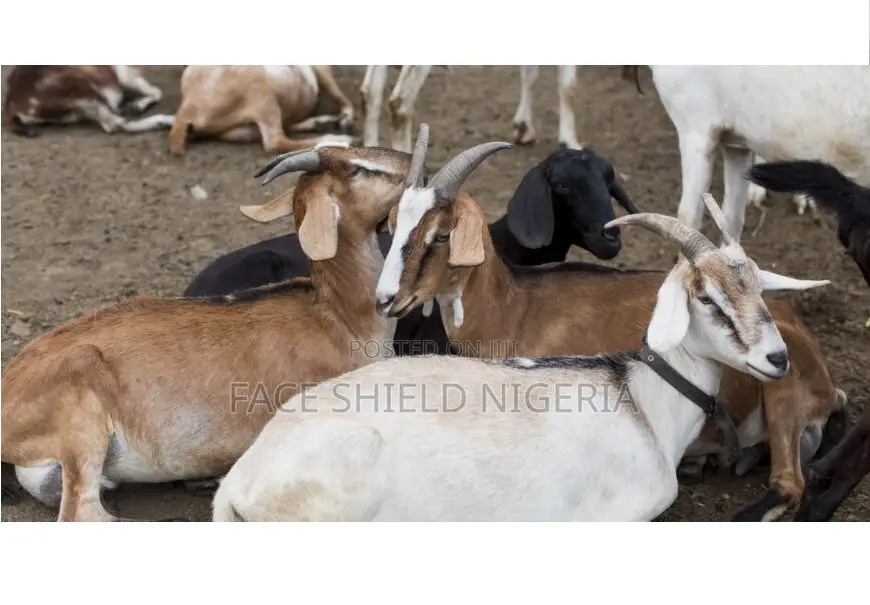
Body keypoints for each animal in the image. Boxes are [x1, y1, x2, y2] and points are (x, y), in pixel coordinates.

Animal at [3, 66, 174, 136]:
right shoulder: (122, 72)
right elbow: (156, 91)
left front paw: (136, 105)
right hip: (86, 89)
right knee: (116, 124)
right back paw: (169, 120)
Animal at [169, 66, 357, 156]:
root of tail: (186, 109)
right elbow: (337, 92)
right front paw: (348, 117)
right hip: (263, 96)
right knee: (275, 142)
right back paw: (340, 139)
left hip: (240, 129)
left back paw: (321, 124)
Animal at [360, 66, 589, 153]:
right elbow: (569, 86)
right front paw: (570, 142)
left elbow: (530, 74)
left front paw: (524, 128)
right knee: (400, 105)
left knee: (370, 92)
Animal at [374, 142, 845, 521]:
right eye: (394, 224)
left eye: (441, 235)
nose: (385, 299)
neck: (513, 307)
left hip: (784, 397)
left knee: (788, 483)